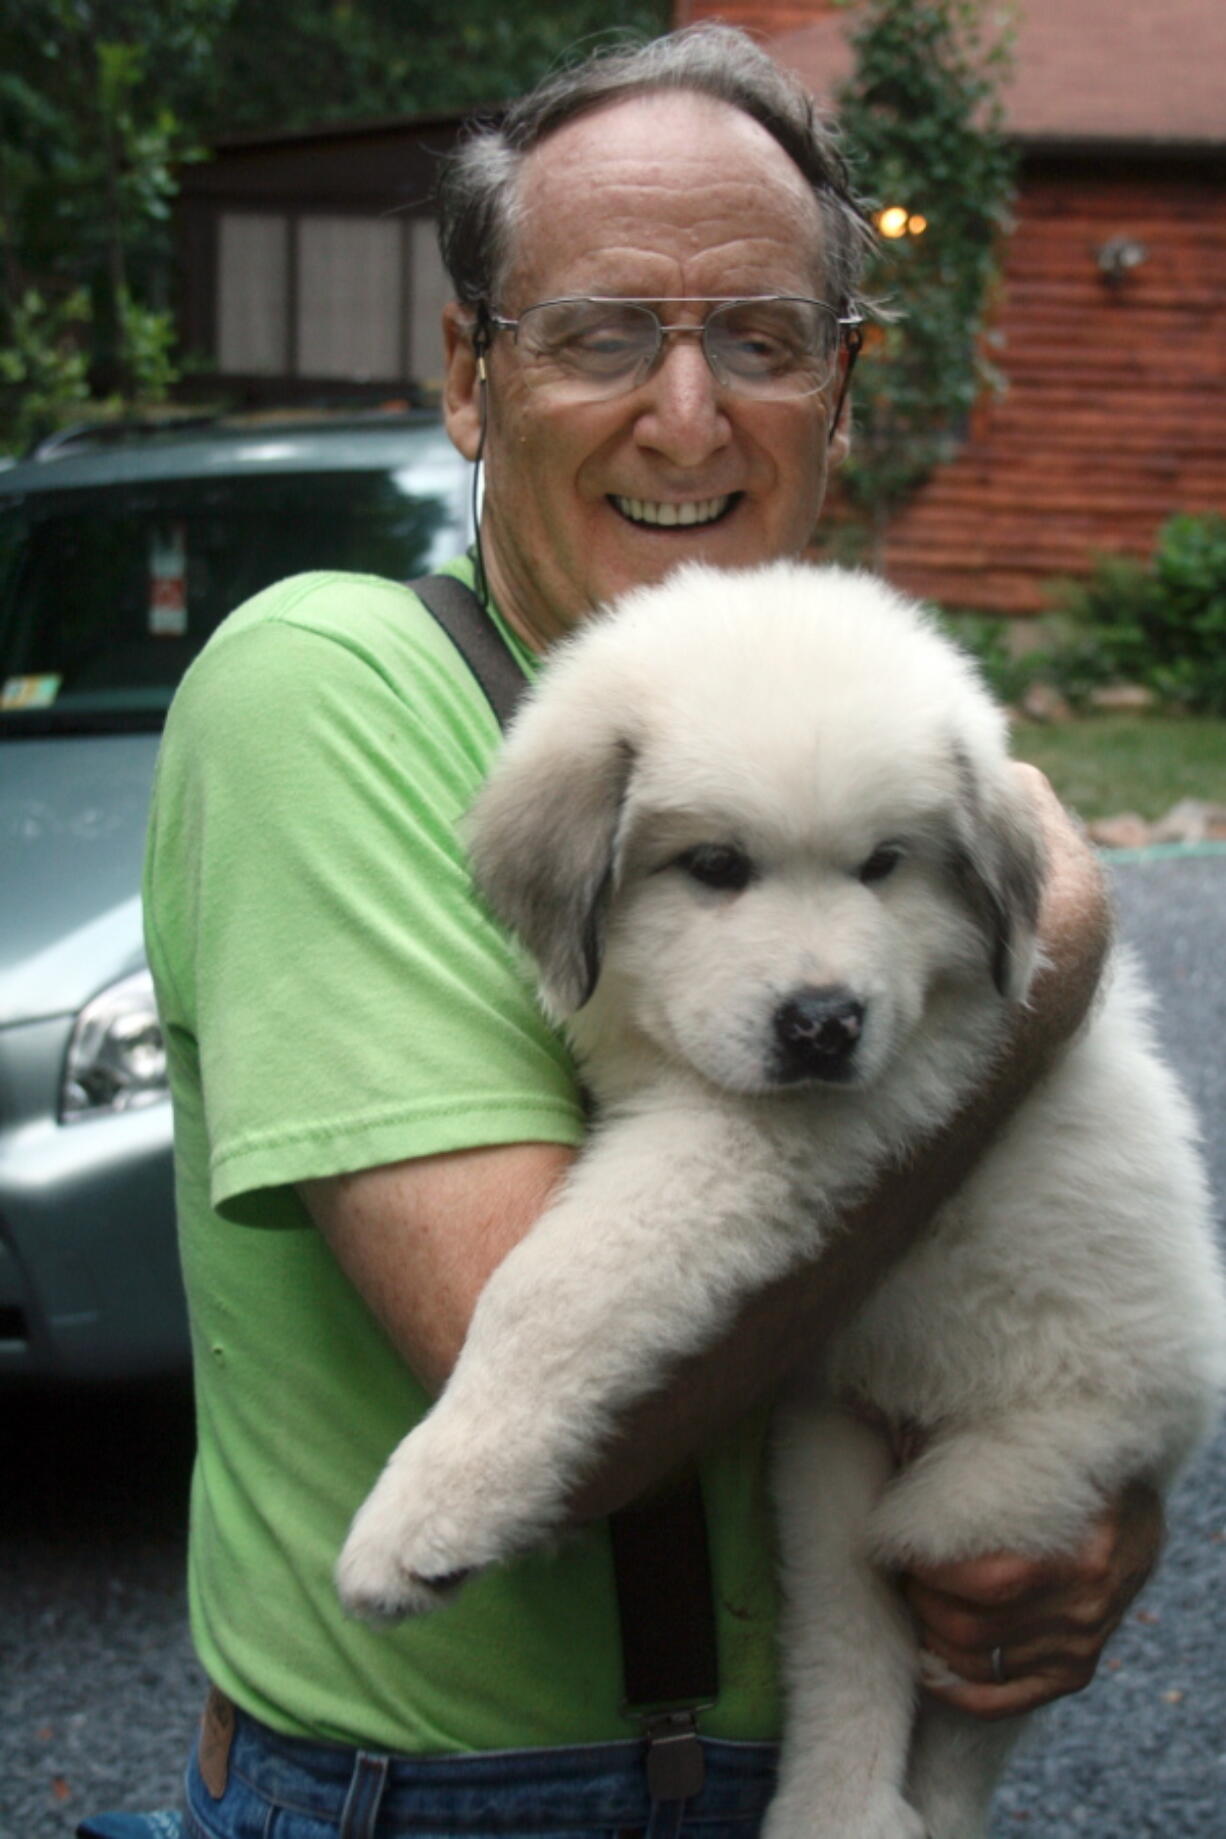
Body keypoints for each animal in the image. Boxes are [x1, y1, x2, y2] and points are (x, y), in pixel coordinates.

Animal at [336, 559, 1226, 1839]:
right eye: (714, 868)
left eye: (884, 864)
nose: (821, 1026)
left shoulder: (760, 1136)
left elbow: (549, 1289)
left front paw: (420, 1522)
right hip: (828, 1456)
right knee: (849, 1652)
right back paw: (831, 1805)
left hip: (1032, 1479)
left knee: (963, 1717)